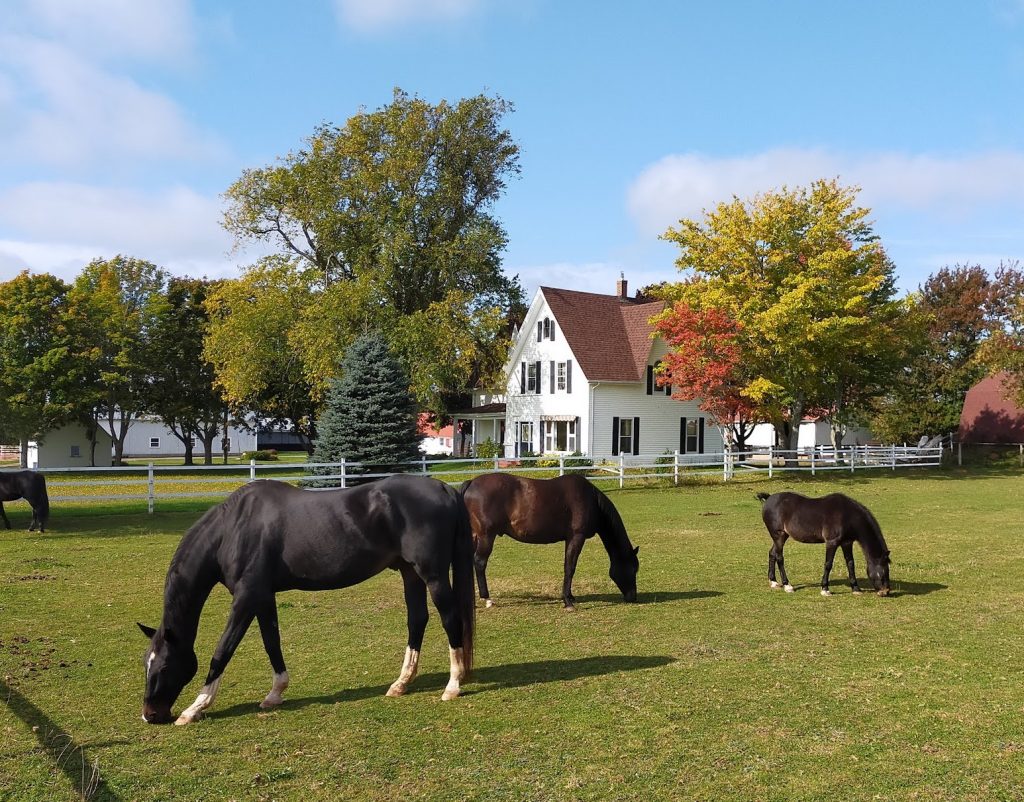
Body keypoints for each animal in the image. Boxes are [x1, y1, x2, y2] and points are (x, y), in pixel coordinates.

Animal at [138, 477, 477, 729]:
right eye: (146, 663)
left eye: (165, 665)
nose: (150, 715)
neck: (233, 529)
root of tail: (444, 488)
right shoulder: (263, 597)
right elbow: (271, 642)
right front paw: (275, 693)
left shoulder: (246, 597)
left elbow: (223, 651)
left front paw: (195, 708)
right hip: (409, 572)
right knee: (417, 619)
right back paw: (401, 683)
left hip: (432, 574)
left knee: (450, 618)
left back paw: (452, 685)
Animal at [460, 473, 634, 610]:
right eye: (633, 569)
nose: (633, 597)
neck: (591, 500)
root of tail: (472, 483)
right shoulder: (577, 536)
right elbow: (570, 567)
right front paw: (567, 602)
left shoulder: (570, 539)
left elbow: (568, 566)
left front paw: (570, 596)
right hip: (486, 536)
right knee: (480, 562)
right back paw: (487, 599)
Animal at [757, 489, 892, 594]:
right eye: (884, 571)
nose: (885, 591)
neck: (847, 515)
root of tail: (768, 498)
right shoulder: (832, 542)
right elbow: (828, 564)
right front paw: (825, 589)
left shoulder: (847, 542)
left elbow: (850, 563)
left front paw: (856, 588)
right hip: (778, 535)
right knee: (779, 557)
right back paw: (787, 585)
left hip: (782, 536)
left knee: (772, 553)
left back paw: (773, 582)